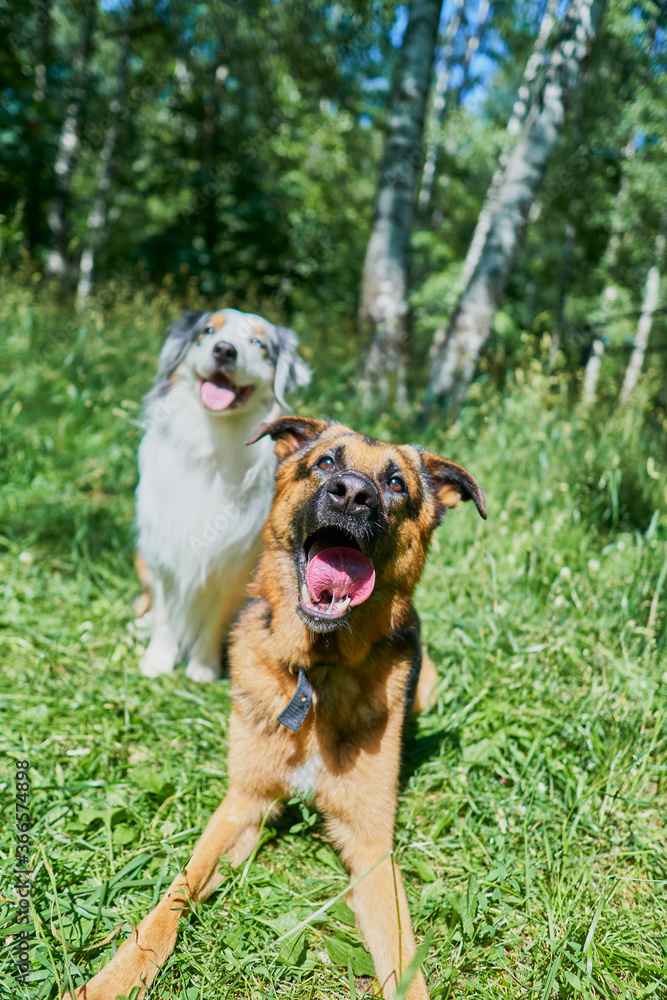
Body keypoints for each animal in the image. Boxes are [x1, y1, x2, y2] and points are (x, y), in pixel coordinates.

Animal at [66, 416, 486, 1000]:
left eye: (396, 483)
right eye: (326, 463)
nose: (352, 493)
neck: (319, 669)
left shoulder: (372, 846)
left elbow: (405, 961)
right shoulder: (241, 807)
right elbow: (170, 900)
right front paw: (114, 978)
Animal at [136, 306, 314, 680]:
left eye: (258, 344)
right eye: (208, 331)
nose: (224, 350)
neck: (214, 440)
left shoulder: (234, 564)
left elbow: (215, 616)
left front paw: (203, 666)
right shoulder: (161, 550)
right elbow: (165, 611)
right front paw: (158, 659)